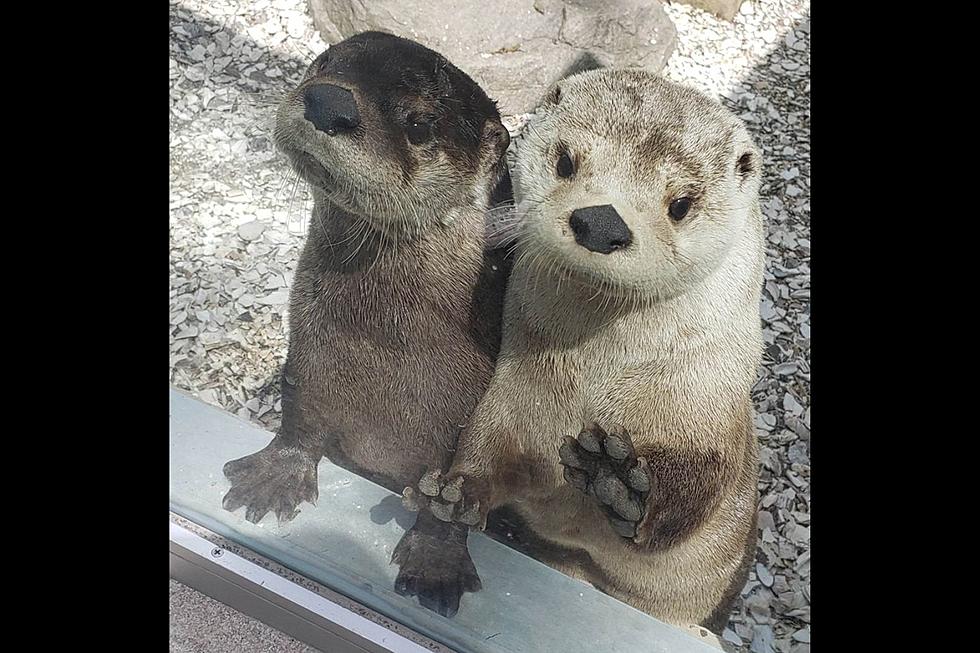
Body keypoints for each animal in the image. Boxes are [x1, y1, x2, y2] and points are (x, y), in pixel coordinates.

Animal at [220, 33, 512, 616]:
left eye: (419, 123)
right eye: (324, 63)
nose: (329, 101)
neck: (383, 348)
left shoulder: (473, 414)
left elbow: (455, 495)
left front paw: (435, 562)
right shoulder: (308, 352)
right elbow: (300, 414)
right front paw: (272, 475)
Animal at [404, 67, 764, 636]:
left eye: (681, 204)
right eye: (566, 161)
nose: (601, 222)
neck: (599, 381)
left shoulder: (705, 399)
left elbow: (698, 485)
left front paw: (620, 480)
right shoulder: (519, 388)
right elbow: (492, 446)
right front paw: (454, 493)